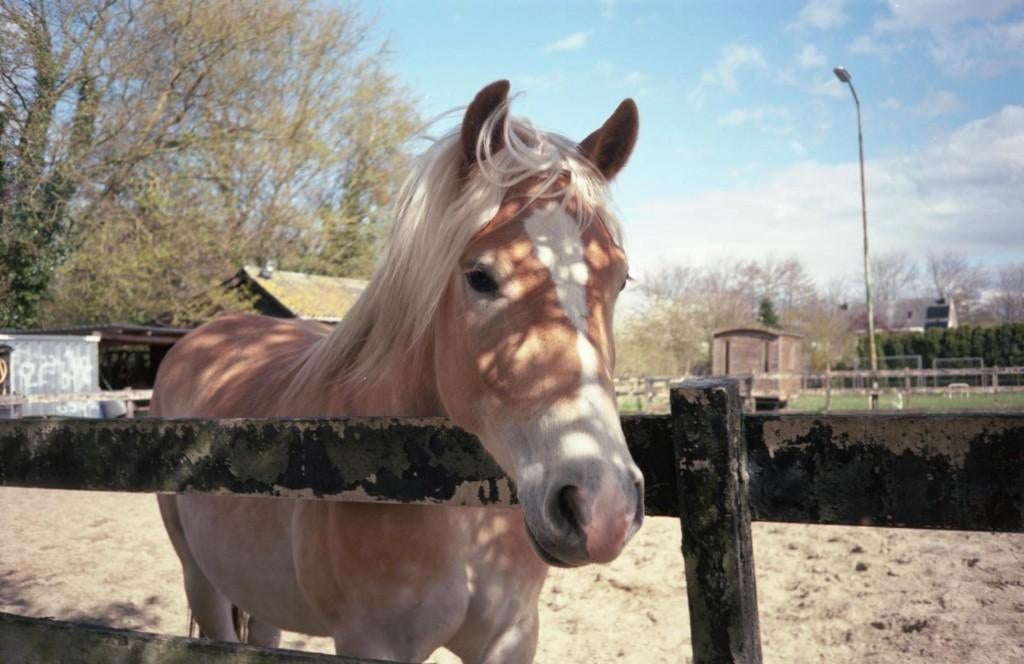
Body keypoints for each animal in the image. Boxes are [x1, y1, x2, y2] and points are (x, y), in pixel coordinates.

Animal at [152, 80, 643, 663]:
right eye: (480, 276)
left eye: (620, 279)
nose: (601, 508)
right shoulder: (372, 641)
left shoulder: (512, 635)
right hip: (200, 582)